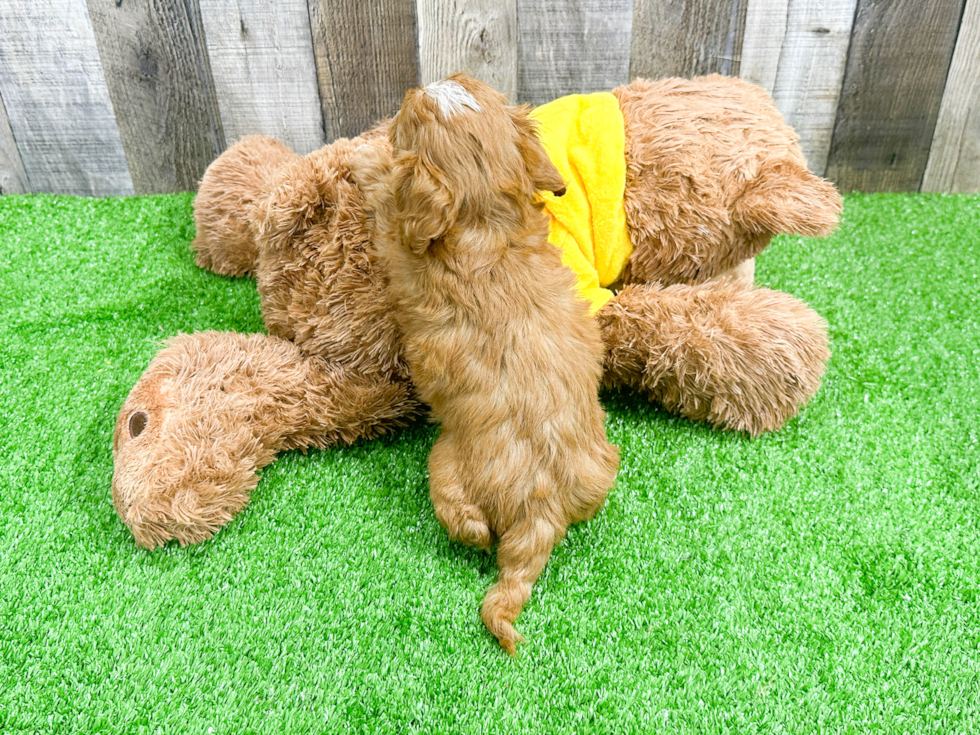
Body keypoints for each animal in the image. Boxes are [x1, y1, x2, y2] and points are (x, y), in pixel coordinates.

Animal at [354, 72, 620, 652]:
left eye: (408, 113)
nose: (418, 85)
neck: (487, 221)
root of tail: (541, 507)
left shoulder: (399, 240)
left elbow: (385, 199)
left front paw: (365, 159)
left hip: (446, 465)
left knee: (466, 522)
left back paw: (471, 537)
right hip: (600, 470)